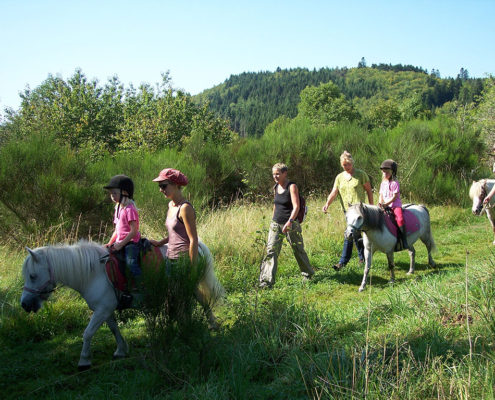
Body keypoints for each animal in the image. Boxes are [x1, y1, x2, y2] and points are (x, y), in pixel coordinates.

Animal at [19, 241, 225, 368]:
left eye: (32, 276)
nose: (24, 304)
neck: (91, 274)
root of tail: (194, 244)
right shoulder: (105, 309)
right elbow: (114, 329)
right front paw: (120, 350)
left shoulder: (102, 310)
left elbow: (88, 333)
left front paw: (84, 361)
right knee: (198, 303)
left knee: (200, 303)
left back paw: (207, 326)